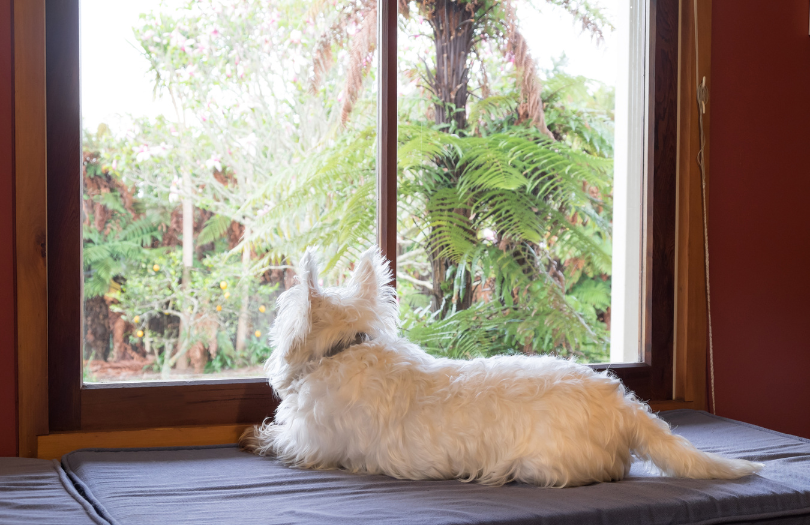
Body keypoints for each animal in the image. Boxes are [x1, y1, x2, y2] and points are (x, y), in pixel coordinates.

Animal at [238, 248, 756, 486]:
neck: (345, 348)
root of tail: (626, 407)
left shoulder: (312, 443)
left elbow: (275, 437)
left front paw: (249, 435)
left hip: (544, 462)